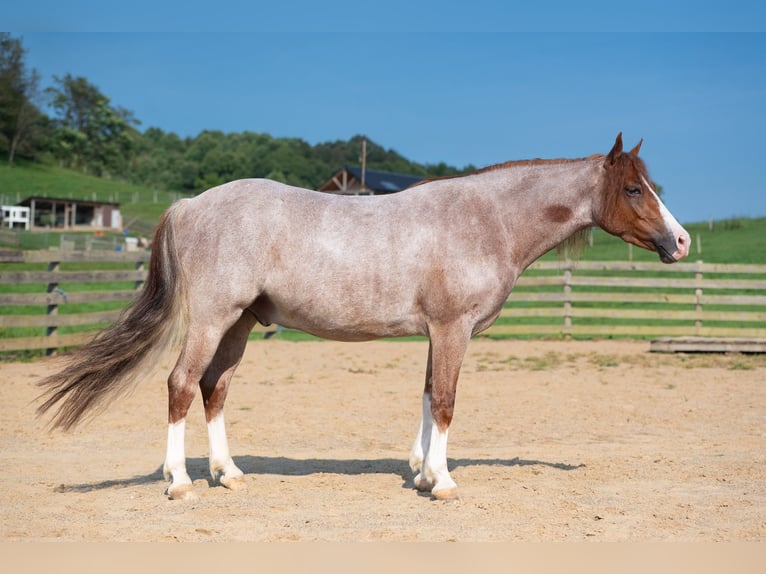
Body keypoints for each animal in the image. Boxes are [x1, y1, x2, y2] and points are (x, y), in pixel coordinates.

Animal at [37, 133, 690, 501]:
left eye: (651, 184)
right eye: (634, 189)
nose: (681, 241)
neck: (485, 219)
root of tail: (190, 203)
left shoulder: (437, 333)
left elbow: (427, 396)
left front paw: (422, 474)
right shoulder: (452, 329)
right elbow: (446, 401)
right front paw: (443, 484)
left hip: (240, 323)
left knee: (213, 387)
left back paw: (229, 473)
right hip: (214, 318)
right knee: (179, 384)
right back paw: (181, 482)